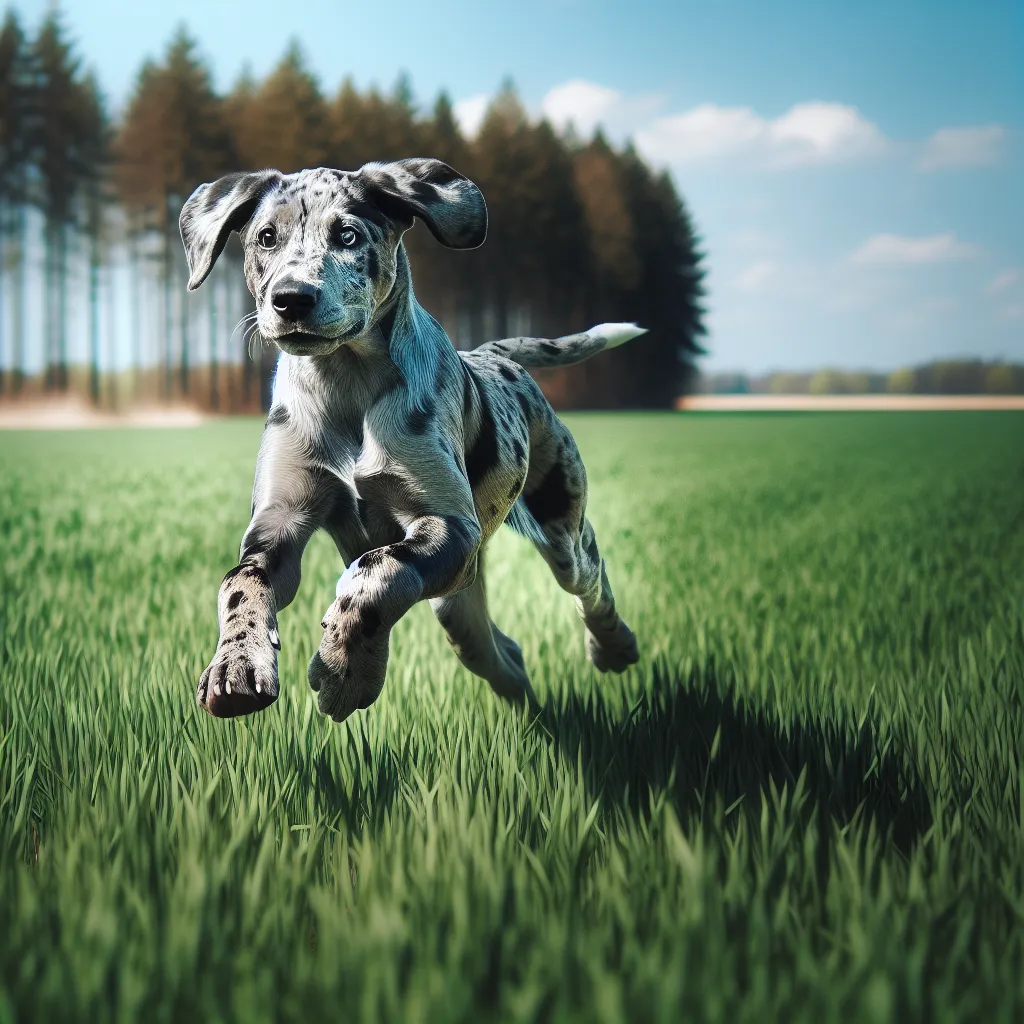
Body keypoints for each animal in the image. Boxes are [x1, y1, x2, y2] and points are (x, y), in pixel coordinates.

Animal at [176, 155, 638, 724]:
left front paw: (346, 672)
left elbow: (377, 573)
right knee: (501, 653)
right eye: (266, 237)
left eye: (348, 235)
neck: (347, 386)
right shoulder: (277, 524)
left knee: (591, 579)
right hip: (458, 601)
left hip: (559, 528)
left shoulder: (449, 525)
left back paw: (612, 647)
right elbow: (240, 583)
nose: (291, 300)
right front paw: (236, 666)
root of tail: (493, 353)